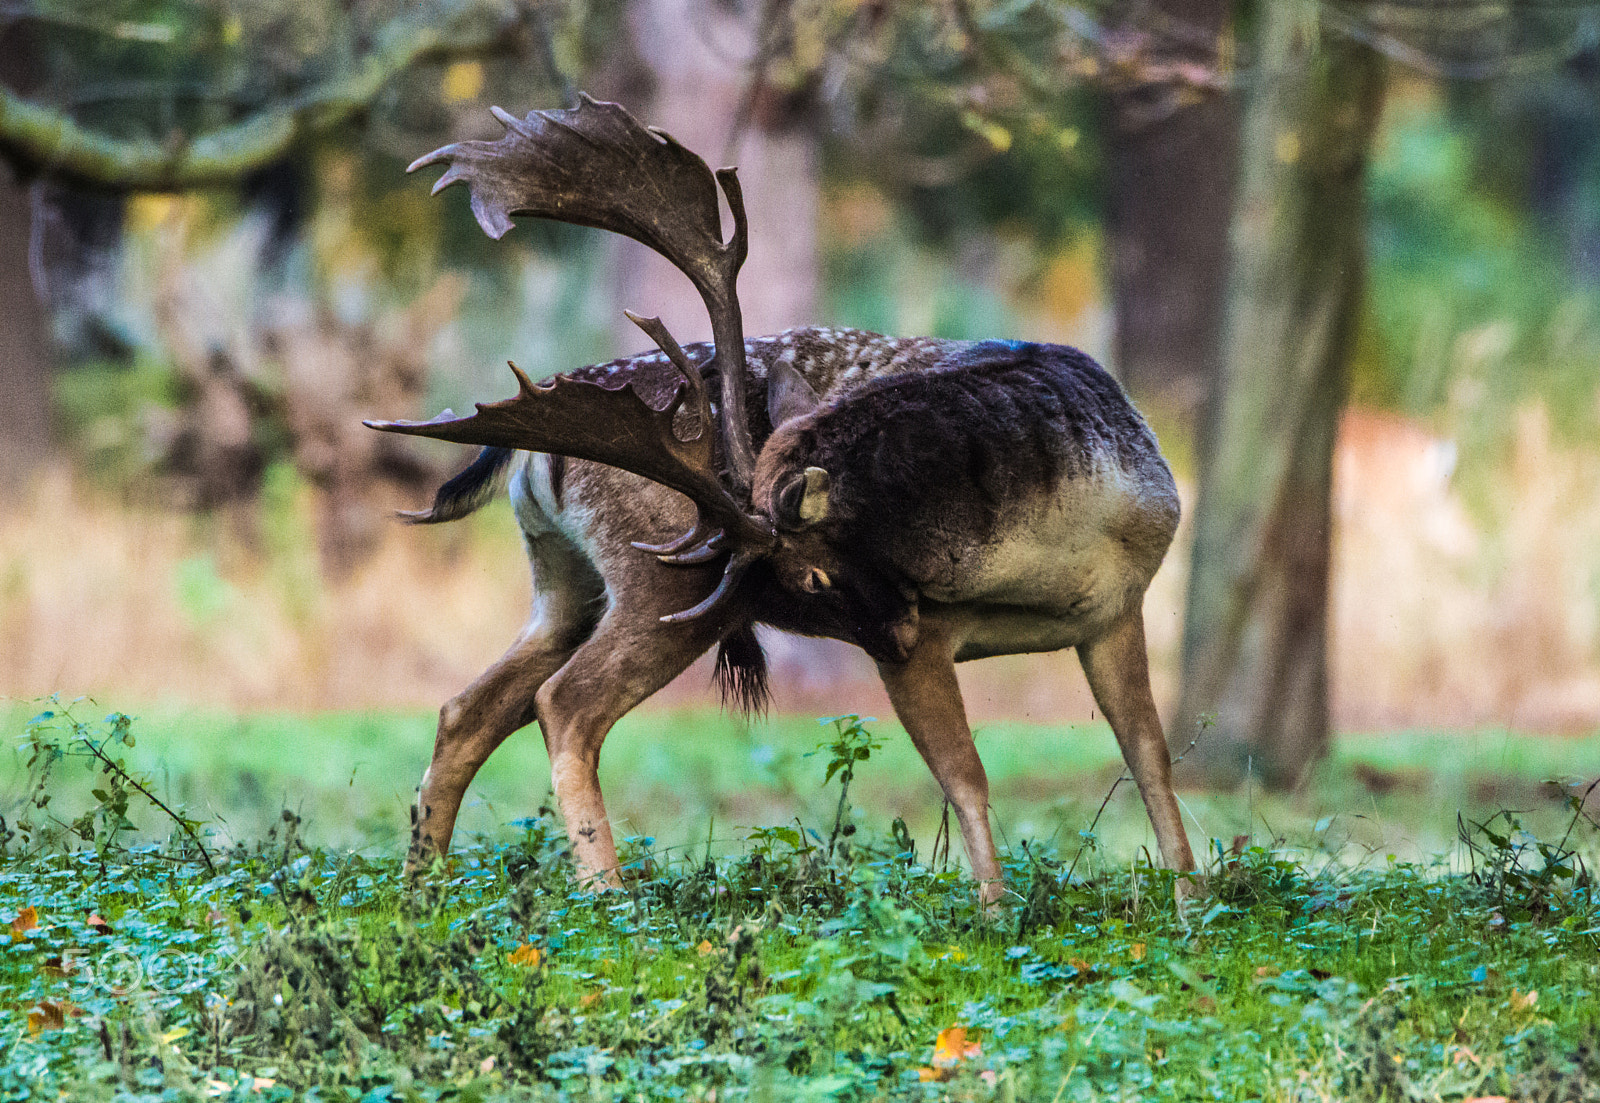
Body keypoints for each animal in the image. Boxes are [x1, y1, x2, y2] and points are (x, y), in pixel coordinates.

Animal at [368, 95, 1198, 906]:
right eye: (810, 583)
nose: (895, 631)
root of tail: (536, 458)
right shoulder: (929, 635)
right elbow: (966, 776)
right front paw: (994, 913)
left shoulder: (1116, 608)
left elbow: (1150, 759)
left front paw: (1191, 898)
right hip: (661, 586)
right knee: (564, 703)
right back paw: (608, 894)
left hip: (569, 582)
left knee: (468, 707)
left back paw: (422, 887)